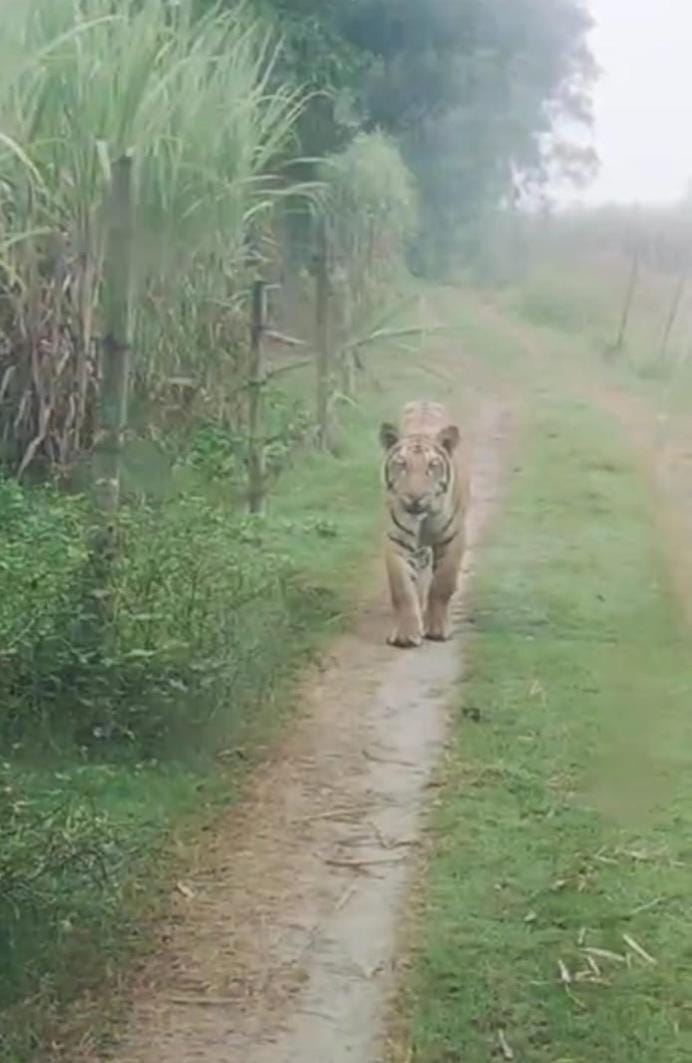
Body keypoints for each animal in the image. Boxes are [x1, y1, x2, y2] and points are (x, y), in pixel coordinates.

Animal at [379, 400, 469, 648]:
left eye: (432, 466)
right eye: (402, 465)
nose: (414, 498)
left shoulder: (454, 539)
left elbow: (442, 583)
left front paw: (437, 628)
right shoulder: (396, 541)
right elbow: (402, 588)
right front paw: (406, 634)